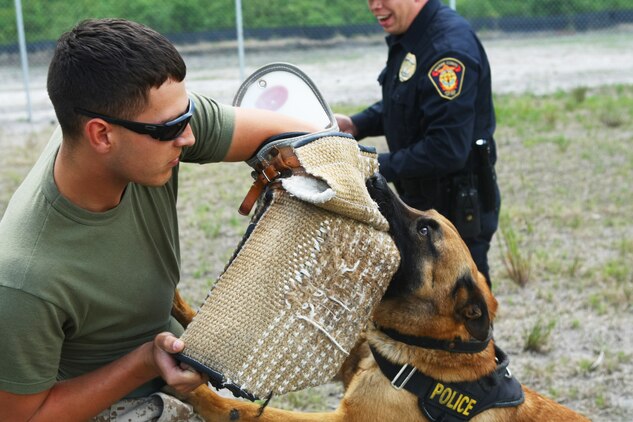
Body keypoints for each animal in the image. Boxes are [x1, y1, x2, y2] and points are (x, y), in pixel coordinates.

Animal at [170, 173, 592, 420]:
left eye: (425, 229)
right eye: (425, 216)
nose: (375, 174)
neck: (427, 350)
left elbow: (242, 409)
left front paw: (192, 389)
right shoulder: (356, 361)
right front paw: (175, 303)